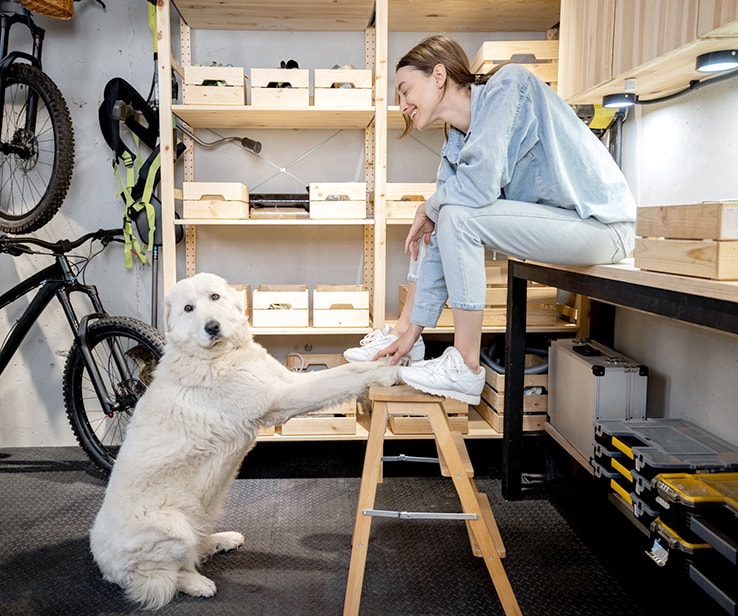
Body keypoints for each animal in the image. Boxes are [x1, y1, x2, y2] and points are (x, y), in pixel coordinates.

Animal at [90, 272, 396, 608]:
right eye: (188, 308)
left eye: (214, 297)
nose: (212, 327)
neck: (219, 353)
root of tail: (106, 568)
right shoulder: (282, 398)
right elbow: (340, 382)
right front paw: (388, 373)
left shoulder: (287, 381)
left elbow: (347, 371)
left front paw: (388, 361)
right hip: (173, 527)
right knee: (169, 576)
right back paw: (198, 583)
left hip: (208, 509)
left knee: (196, 547)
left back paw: (222, 540)